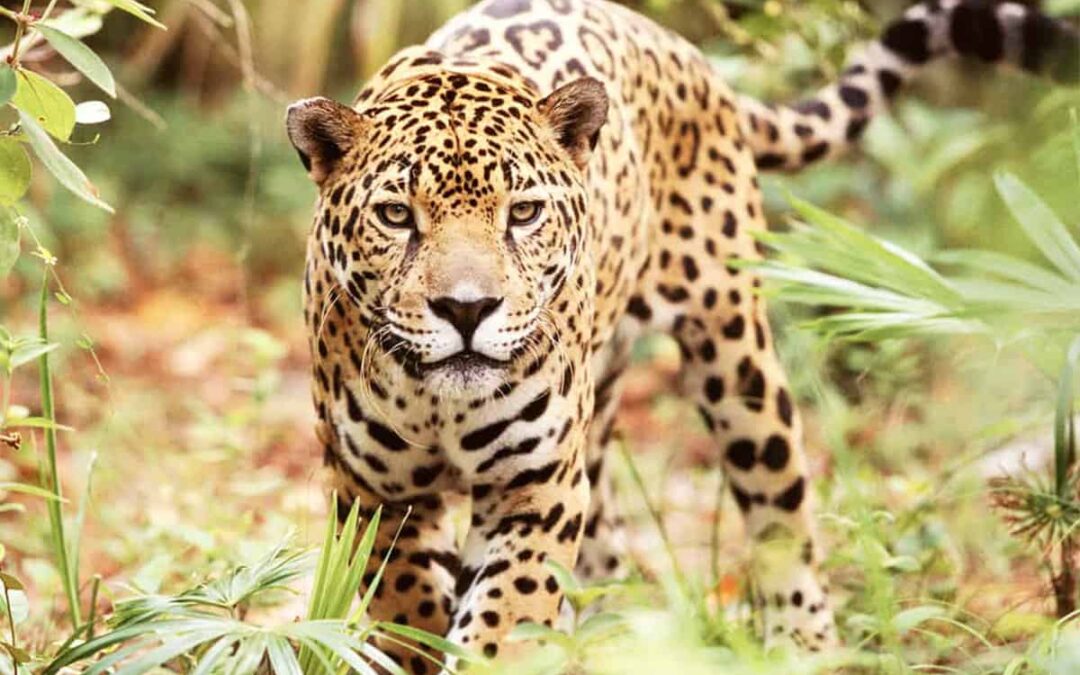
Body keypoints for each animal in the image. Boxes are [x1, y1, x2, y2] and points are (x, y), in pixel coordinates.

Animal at [285, 0, 1077, 671]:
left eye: (524, 212)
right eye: (396, 216)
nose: (467, 308)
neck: (441, 406)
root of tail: (683, 52)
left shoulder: (535, 486)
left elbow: (504, 618)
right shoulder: (372, 491)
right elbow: (406, 607)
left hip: (736, 355)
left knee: (781, 506)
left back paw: (802, 644)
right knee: (604, 549)